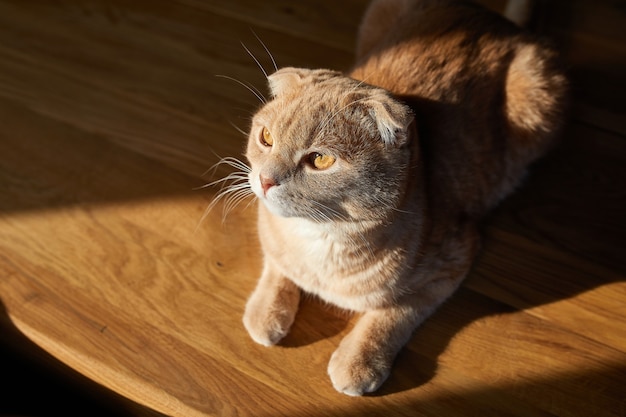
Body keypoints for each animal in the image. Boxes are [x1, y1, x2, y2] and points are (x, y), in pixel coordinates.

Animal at [228, 0, 564, 394]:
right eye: (266, 137)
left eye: (320, 160)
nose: (265, 180)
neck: (320, 239)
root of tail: (492, 18)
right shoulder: (274, 238)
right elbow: (277, 266)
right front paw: (266, 312)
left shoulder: (452, 263)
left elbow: (394, 312)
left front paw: (359, 360)